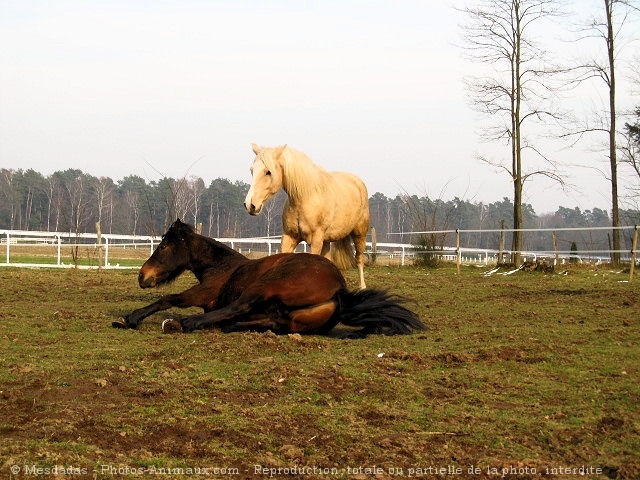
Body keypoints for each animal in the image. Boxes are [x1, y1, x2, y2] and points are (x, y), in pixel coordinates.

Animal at [114, 218, 424, 338]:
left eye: (165, 246)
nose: (143, 275)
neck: (221, 266)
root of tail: (339, 290)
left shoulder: (204, 294)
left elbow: (168, 298)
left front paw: (130, 318)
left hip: (266, 285)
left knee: (238, 307)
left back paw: (182, 323)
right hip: (286, 318)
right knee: (267, 322)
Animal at [242, 144, 370, 288]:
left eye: (268, 172)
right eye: (252, 170)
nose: (250, 205)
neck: (305, 198)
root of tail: (358, 182)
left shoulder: (315, 240)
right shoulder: (289, 237)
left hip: (359, 234)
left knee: (359, 259)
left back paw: (362, 286)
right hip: (326, 241)